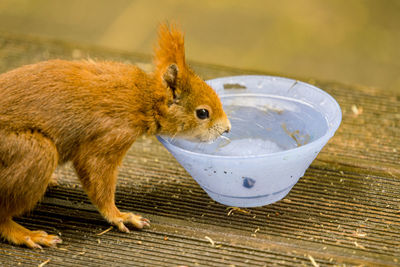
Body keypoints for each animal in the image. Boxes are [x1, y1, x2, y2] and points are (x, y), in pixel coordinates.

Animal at [0, 23, 231, 249]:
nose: (227, 129)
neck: (143, 98)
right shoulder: (113, 132)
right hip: (35, 152)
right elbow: (95, 171)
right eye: (203, 113)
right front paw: (119, 215)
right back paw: (26, 234)